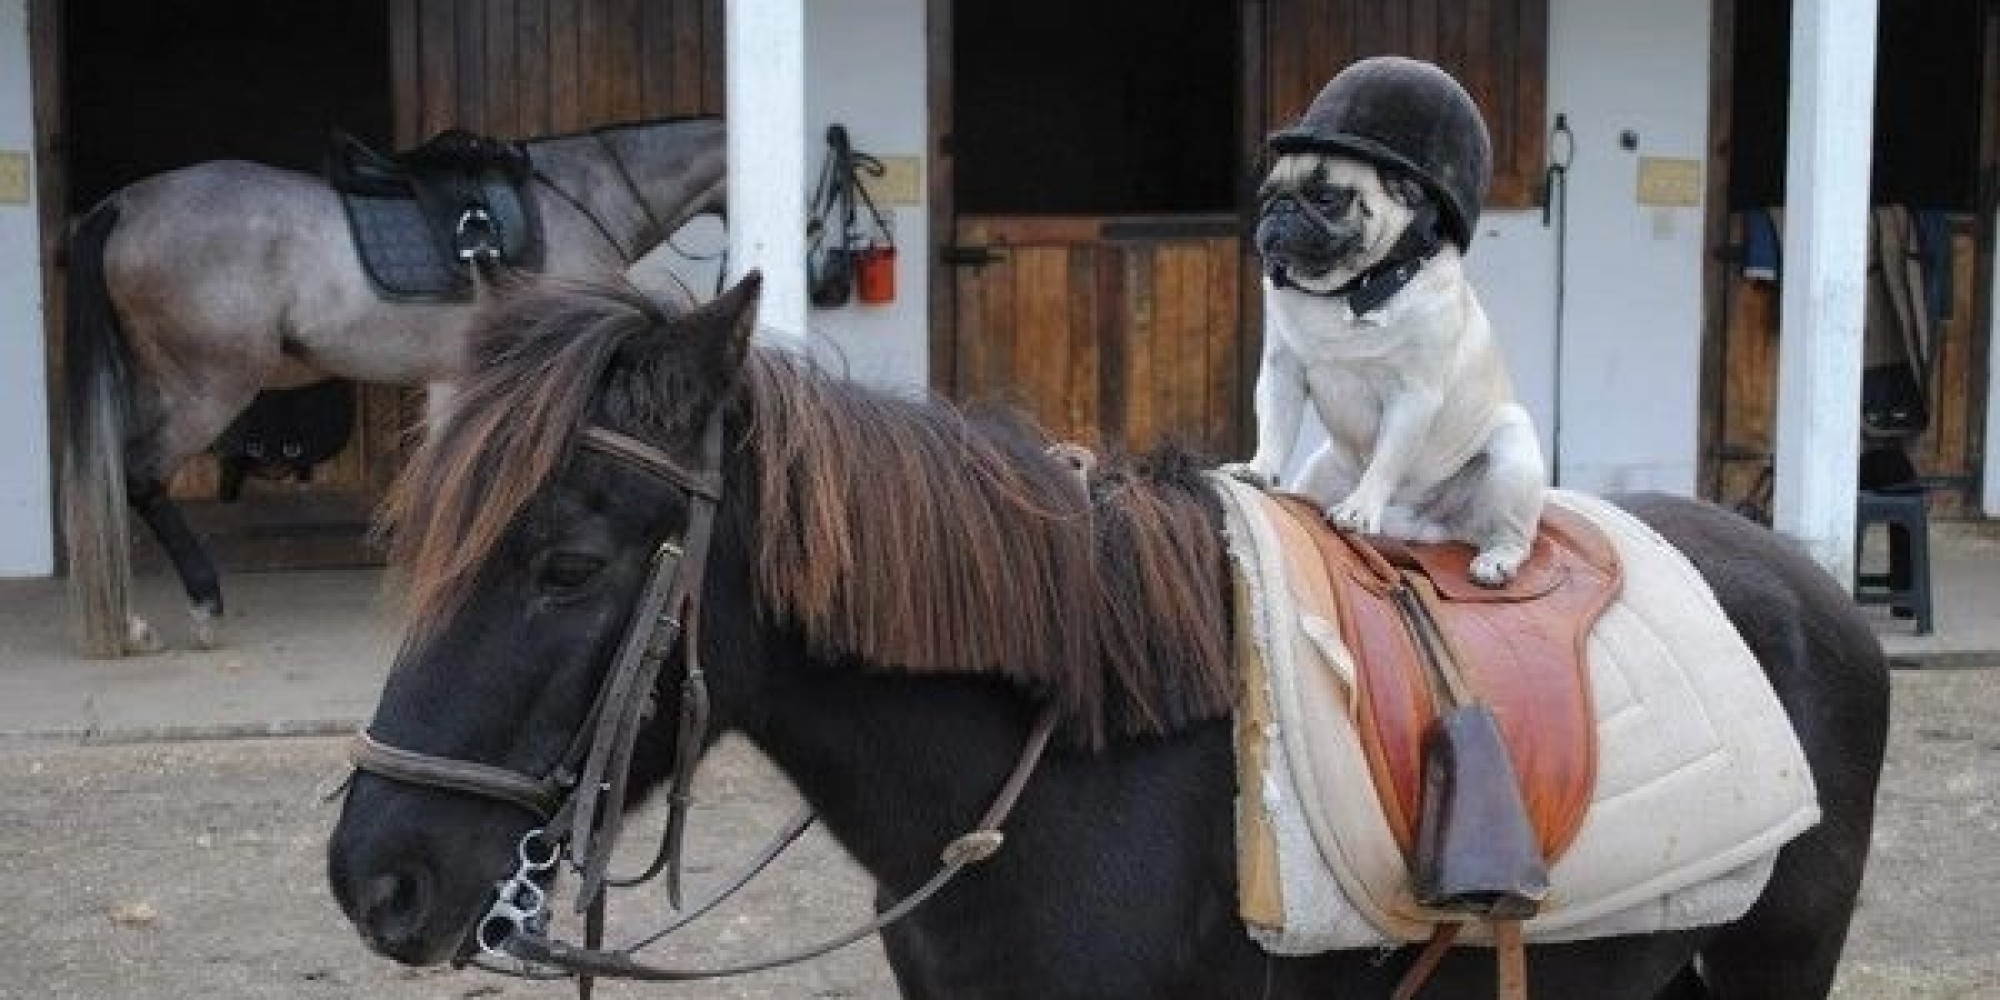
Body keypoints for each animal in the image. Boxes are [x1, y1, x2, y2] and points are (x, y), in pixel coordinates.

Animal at [1216, 149, 1544, 584]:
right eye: (1266, 195)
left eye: (1326, 197)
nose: (1280, 207)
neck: (1350, 291)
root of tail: (1431, 527)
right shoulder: (1281, 373)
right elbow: (1274, 430)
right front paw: (1258, 470)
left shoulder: (1412, 398)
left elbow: (1387, 459)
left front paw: (1359, 509)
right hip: (1321, 473)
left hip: (1512, 457)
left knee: (1514, 535)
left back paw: (1496, 560)